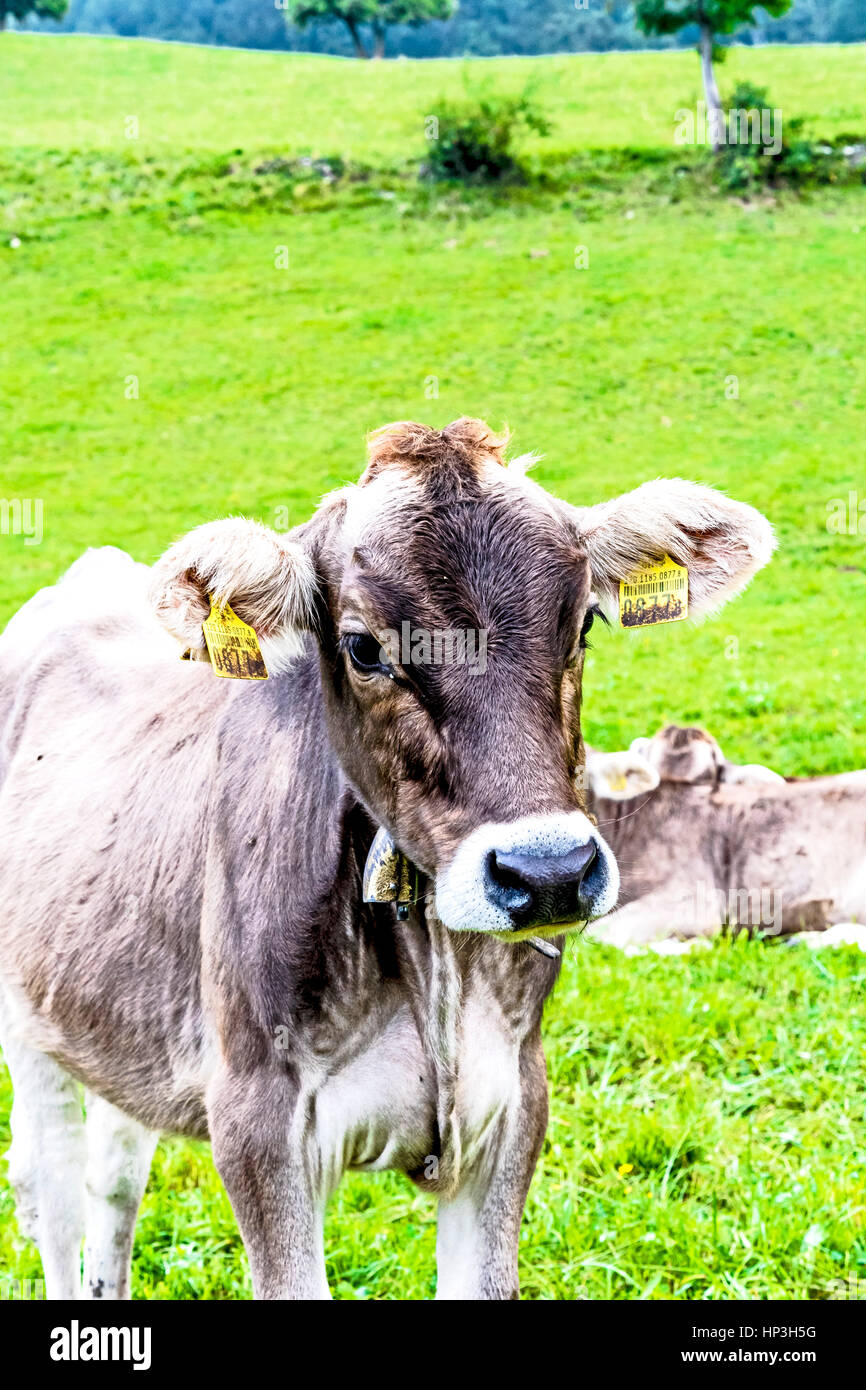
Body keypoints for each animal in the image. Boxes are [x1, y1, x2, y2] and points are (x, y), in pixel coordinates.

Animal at [0, 417, 772, 1295]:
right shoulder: (258, 1127)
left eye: (581, 624)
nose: (547, 874)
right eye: (363, 648)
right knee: (55, 1194)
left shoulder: (513, 1104)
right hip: (29, 1024)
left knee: (116, 1176)